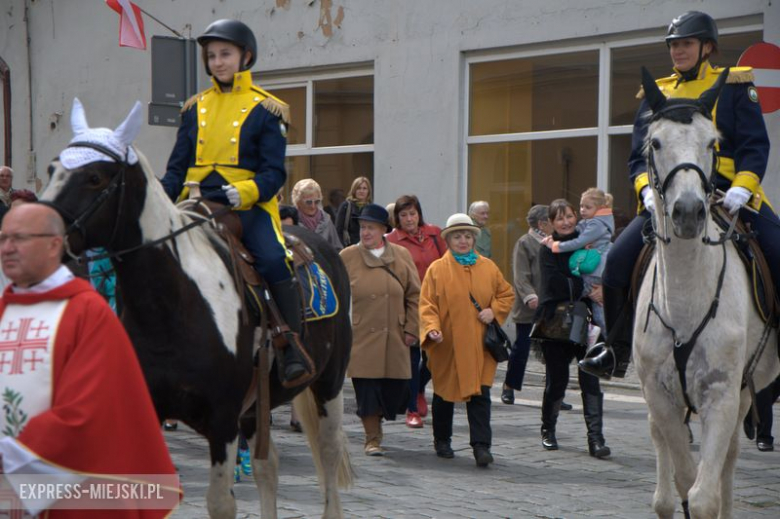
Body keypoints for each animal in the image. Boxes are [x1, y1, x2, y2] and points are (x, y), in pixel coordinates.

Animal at [39, 98, 350, 519]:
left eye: (95, 178)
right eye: (52, 169)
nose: (34, 230)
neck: (173, 304)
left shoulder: (223, 418)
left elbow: (220, 503)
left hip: (328, 384)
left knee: (329, 455)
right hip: (257, 405)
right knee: (268, 467)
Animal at [632, 70, 780, 519]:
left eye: (713, 142)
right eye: (655, 142)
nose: (688, 212)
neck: (686, 298)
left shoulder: (722, 394)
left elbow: (704, 496)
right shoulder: (661, 396)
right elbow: (684, 480)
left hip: (745, 391)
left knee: (728, 459)